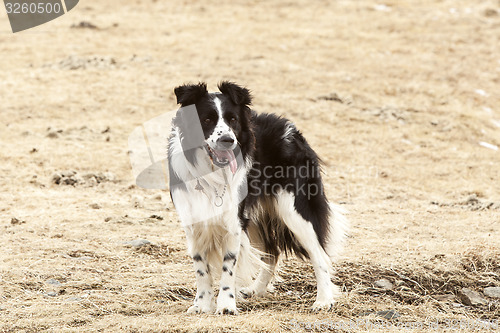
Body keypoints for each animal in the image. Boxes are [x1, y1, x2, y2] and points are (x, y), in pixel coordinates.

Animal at [168, 81, 348, 314]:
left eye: (233, 120)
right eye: (206, 119)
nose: (228, 140)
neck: (210, 172)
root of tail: (291, 129)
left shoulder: (234, 222)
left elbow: (228, 267)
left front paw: (226, 306)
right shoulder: (194, 221)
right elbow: (201, 269)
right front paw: (202, 305)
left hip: (293, 210)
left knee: (319, 255)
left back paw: (324, 300)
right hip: (256, 217)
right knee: (273, 251)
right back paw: (257, 289)